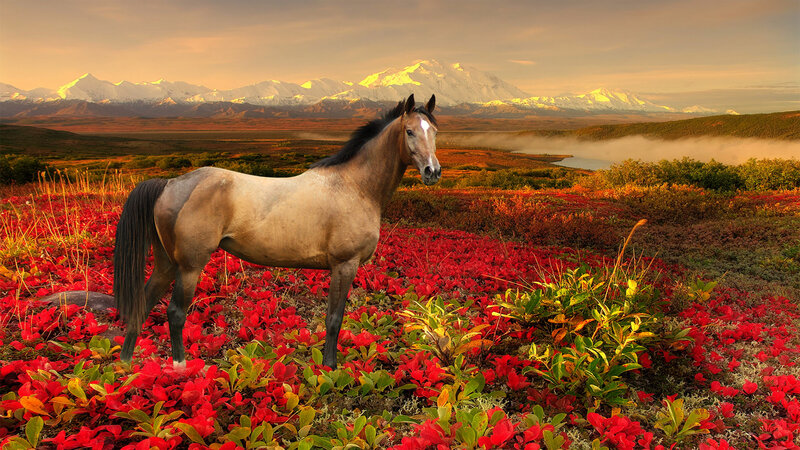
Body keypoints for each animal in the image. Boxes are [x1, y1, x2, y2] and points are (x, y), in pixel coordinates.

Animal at [114, 94, 439, 369]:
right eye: (409, 131)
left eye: (434, 131)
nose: (432, 172)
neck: (354, 186)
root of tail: (169, 183)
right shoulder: (345, 265)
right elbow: (334, 319)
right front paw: (330, 369)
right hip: (189, 267)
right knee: (175, 313)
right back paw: (180, 367)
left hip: (167, 263)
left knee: (143, 303)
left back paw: (125, 365)